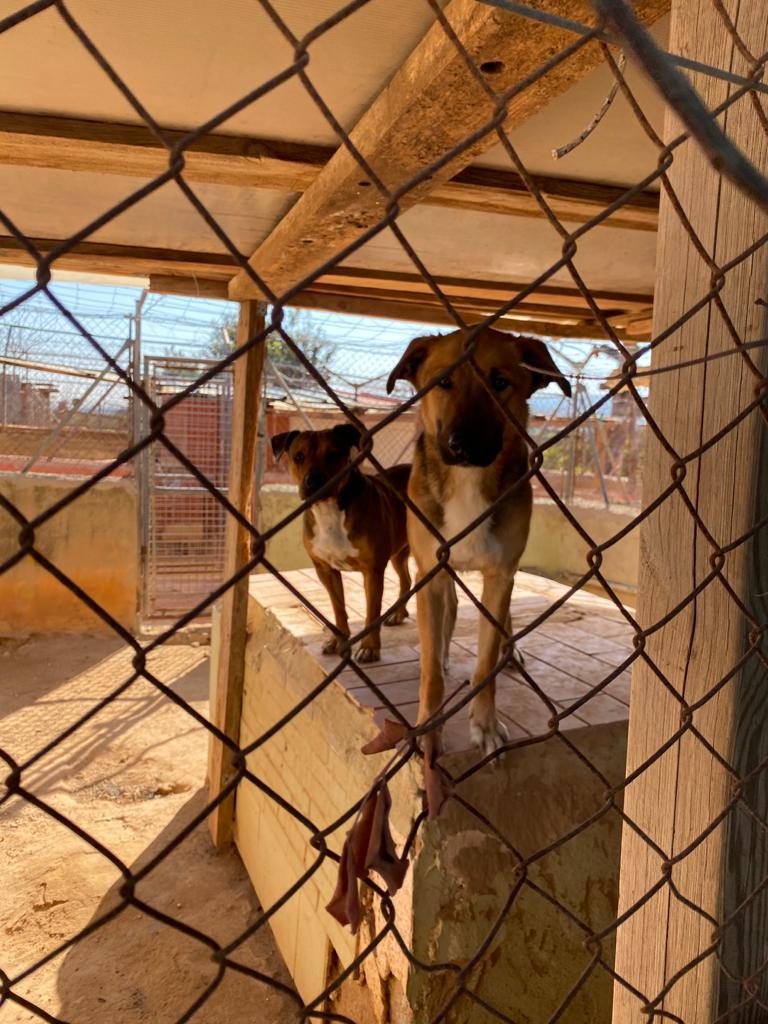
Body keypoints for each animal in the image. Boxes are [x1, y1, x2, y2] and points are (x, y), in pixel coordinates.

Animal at [270, 424, 412, 663]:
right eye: (298, 456)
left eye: (334, 454)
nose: (314, 481)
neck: (330, 510)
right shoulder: (325, 570)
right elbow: (338, 609)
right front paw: (339, 640)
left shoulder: (373, 571)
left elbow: (371, 613)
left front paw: (370, 647)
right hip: (399, 554)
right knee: (407, 580)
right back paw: (398, 614)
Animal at [386, 327, 571, 755]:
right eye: (442, 381)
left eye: (499, 382)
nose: (462, 444)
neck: (468, 482)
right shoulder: (432, 571)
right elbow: (430, 671)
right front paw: (427, 727)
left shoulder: (501, 574)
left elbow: (486, 662)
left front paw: (485, 724)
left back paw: (509, 649)